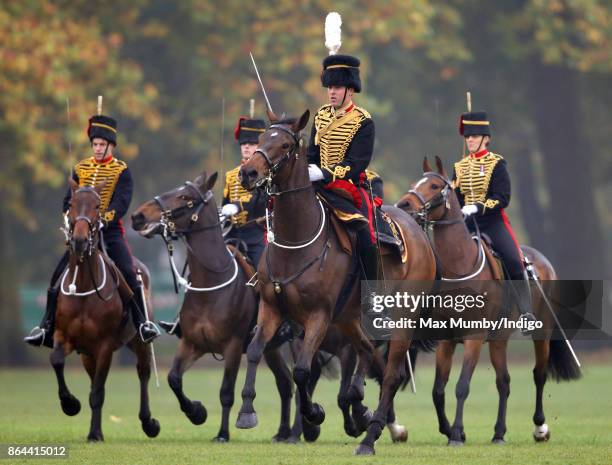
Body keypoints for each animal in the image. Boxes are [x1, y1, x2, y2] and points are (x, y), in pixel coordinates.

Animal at [51, 179, 160, 442]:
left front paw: (94, 433)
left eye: (97, 206)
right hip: (87, 354)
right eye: (71, 204)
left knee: (143, 372)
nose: (80, 240)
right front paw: (70, 404)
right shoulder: (64, 336)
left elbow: (98, 392)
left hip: (138, 342)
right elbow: (57, 361)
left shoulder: (105, 346)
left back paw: (148, 422)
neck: (83, 285)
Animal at [132, 171, 298, 442]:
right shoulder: (192, 343)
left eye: (184, 197)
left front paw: (222, 433)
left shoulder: (232, 346)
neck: (211, 286)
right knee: (285, 383)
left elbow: (226, 392)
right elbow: (174, 378)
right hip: (271, 347)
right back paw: (283, 433)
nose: (138, 216)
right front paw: (196, 412)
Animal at [235, 110, 436, 436]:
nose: (248, 173)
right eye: (263, 137)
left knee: (383, 363)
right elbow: (255, 351)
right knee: (368, 352)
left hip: (397, 314)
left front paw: (314, 414)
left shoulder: (319, 315)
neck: (296, 242)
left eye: (286, 145)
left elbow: (302, 370)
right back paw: (364, 412)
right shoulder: (271, 308)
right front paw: (247, 410)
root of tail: (417, 230)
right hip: (349, 318)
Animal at [392, 159, 584, 446]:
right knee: (503, 381)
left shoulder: (474, 337)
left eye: (435, 186)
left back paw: (540, 427)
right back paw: (499, 433)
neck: (459, 266)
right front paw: (450, 430)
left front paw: (457, 434)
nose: (404, 205)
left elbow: (462, 386)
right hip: (498, 340)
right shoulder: (446, 340)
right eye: (417, 181)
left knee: (538, 374)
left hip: (541, 332)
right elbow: (438, 390)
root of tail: (541, 260)